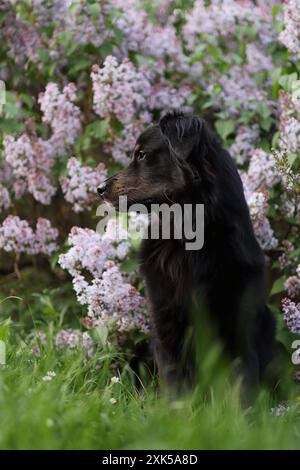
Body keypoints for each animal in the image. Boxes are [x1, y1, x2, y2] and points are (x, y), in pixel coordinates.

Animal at [98, 114, 274, 392]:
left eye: (142, 155)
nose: (99, 189)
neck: (186, 234)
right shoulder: (166, 322)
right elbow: (175, 383)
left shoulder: (238, 325)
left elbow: (243, 386)